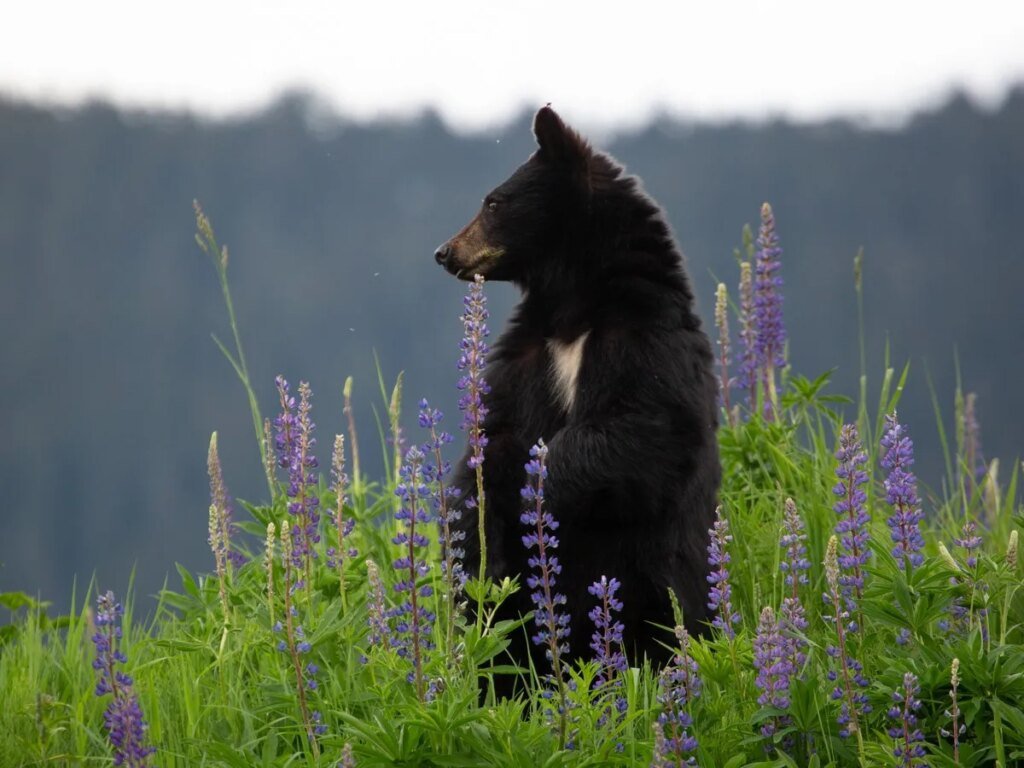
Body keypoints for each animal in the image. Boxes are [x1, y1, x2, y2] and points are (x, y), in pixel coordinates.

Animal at [434, 106, 720, 690]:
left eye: (493, 201)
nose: (445, 252)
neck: (574, 308)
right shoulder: (527, 357)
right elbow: (490, 440)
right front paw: (482, 533)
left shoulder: (645, 343)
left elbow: (640, 427)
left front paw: (540, 489)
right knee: (501, 645)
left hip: (656, 579)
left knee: (664, 626)